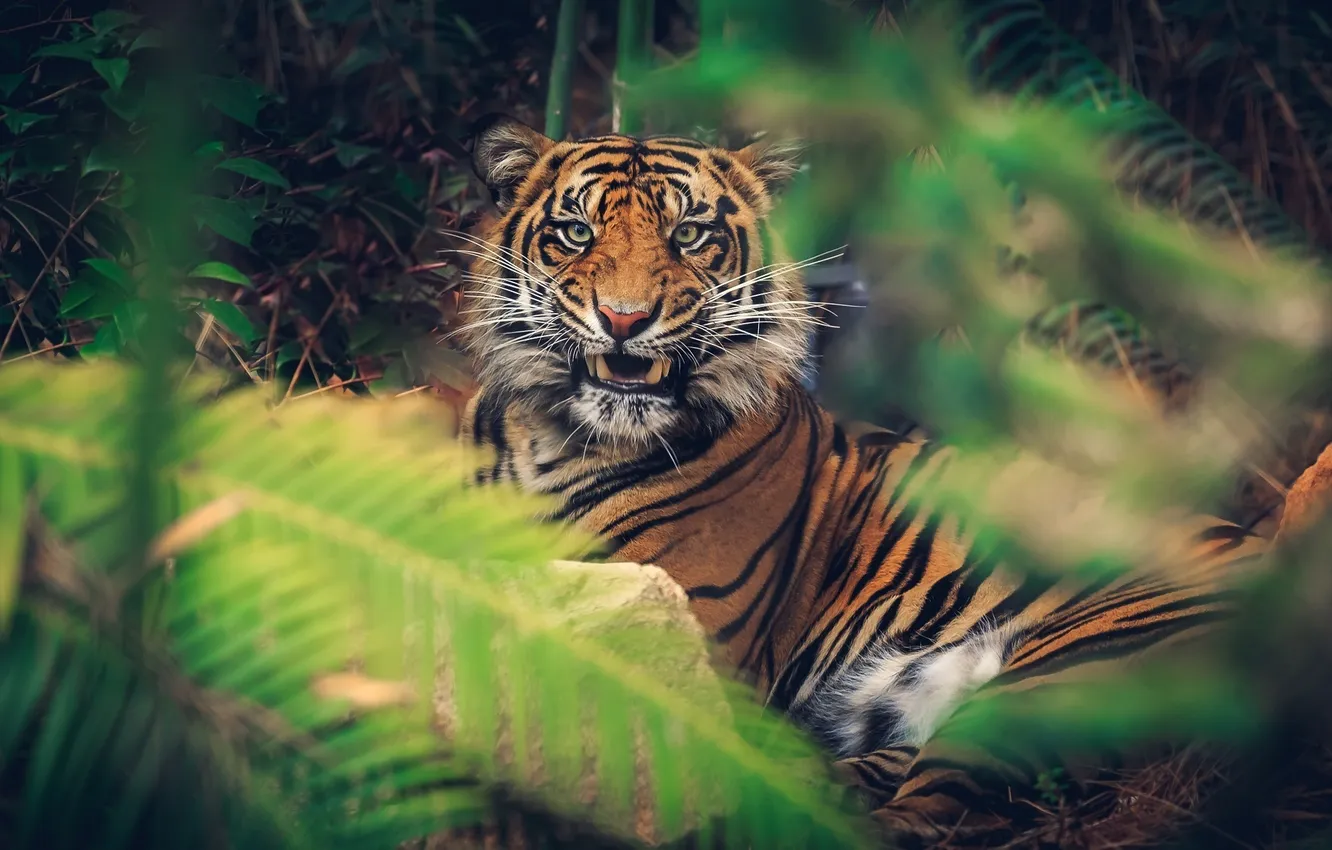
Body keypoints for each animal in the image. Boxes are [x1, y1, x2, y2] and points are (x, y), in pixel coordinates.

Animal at [455, 113, 1272, 846]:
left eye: (688, 235)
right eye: (575, 233)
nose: (624, 319)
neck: (559, 438)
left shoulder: (685, 630)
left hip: (1055, 677)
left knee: (934, 818)